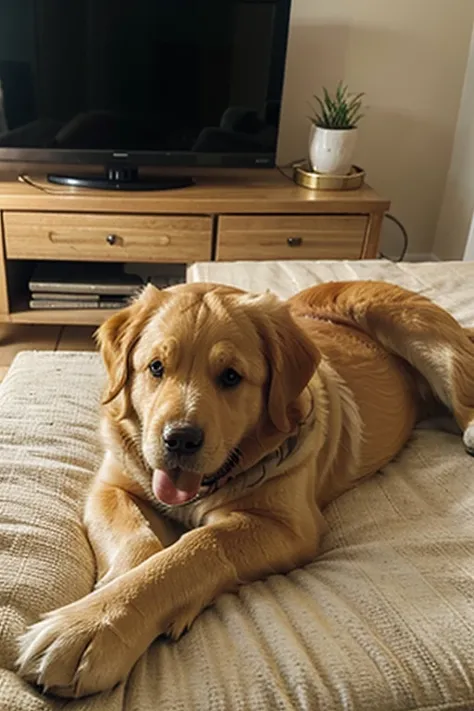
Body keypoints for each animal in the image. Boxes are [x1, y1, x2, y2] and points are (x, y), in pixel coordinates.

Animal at [16, 280, 474, 700]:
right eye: (156, 368)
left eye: (231, 377)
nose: (179, 440)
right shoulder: (110, 486)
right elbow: (137, 539)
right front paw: (107, 598)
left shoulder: (289, 527)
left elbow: (197, 548)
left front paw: (91, 629)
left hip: (422, 334)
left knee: (460, 388)